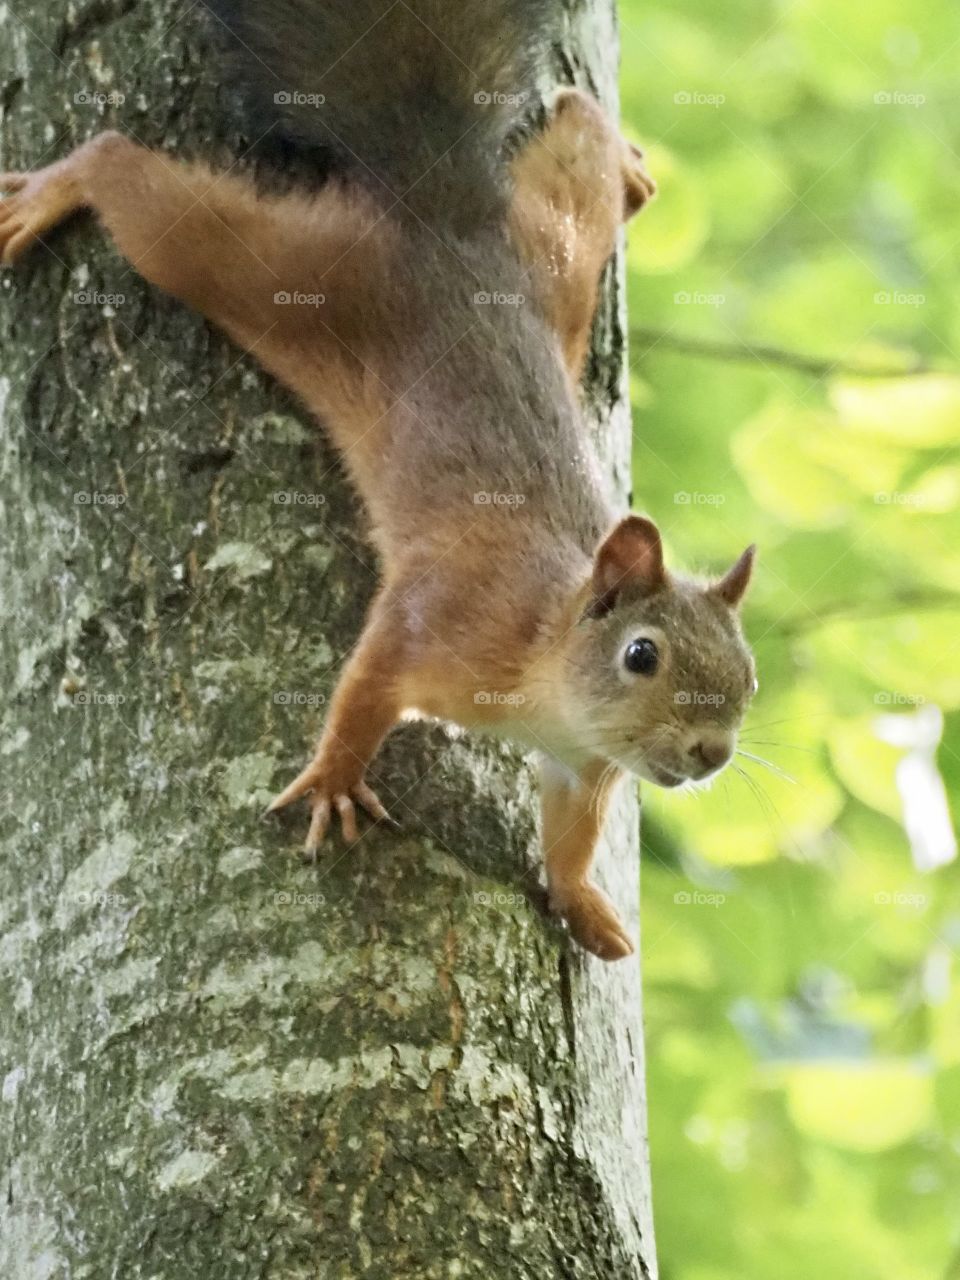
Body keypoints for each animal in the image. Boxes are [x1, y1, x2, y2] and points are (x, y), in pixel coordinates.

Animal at [0, 0, 757, 962]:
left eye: (748, 676)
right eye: (642, 655)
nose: (711, 754)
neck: (549, 655)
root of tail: (439, 209)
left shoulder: (582, 766)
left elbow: (570, 837)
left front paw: (580, 900)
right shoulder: (442, 620)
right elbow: (366, 682)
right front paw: (334, 776)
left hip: (557, 259)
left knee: (578, 150)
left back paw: (616, 155)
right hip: (297, 274)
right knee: (144, 193)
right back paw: (61, 185)